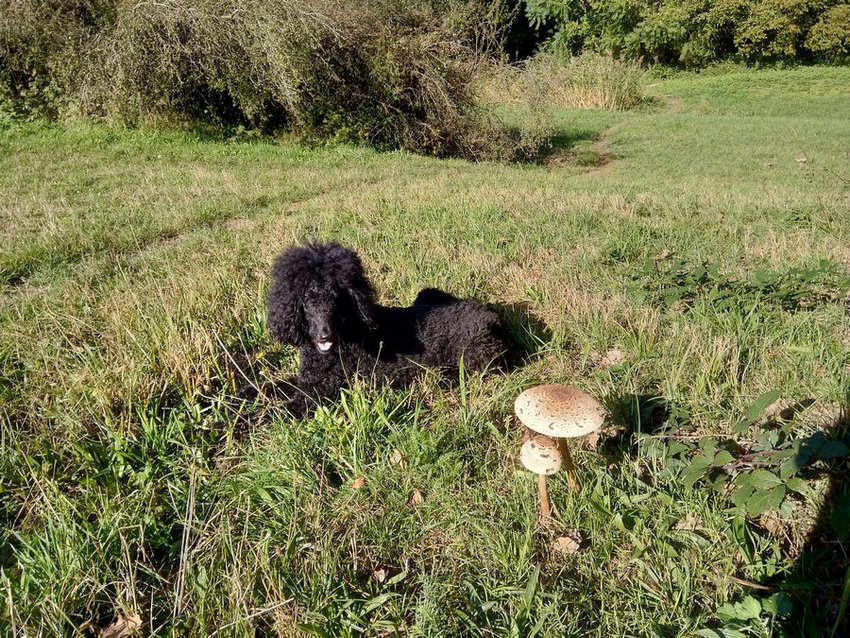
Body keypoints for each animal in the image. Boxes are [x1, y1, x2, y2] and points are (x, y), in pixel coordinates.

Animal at [264, 242, 506, 418]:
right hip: (428, 294)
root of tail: (492, 316)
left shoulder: (323, 391)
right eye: (307, 300)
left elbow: (282, 411)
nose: (325, 334)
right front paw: (254, 393)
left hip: (474, 353)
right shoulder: (308, 379)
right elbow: (274, 385)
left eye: (338, 299)